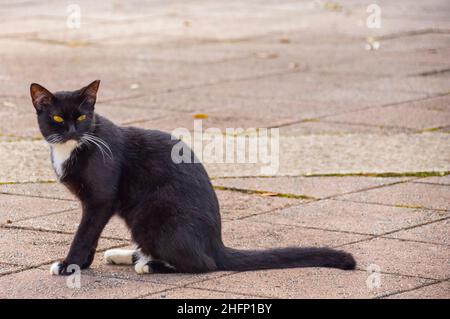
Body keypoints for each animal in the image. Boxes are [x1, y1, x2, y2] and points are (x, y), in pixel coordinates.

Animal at [29, 81, 356, 276]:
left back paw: (148, 265)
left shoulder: (100, 200)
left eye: (82, 117)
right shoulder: (96, 205)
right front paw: (82, 265)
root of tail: (216, 243)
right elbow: (92, 235)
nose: (73, 130)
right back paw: (127, 255)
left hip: (151, 216)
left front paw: (69, 265)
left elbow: (84, 233)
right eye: (57, 118)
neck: (72, 147)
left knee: (202, 264)